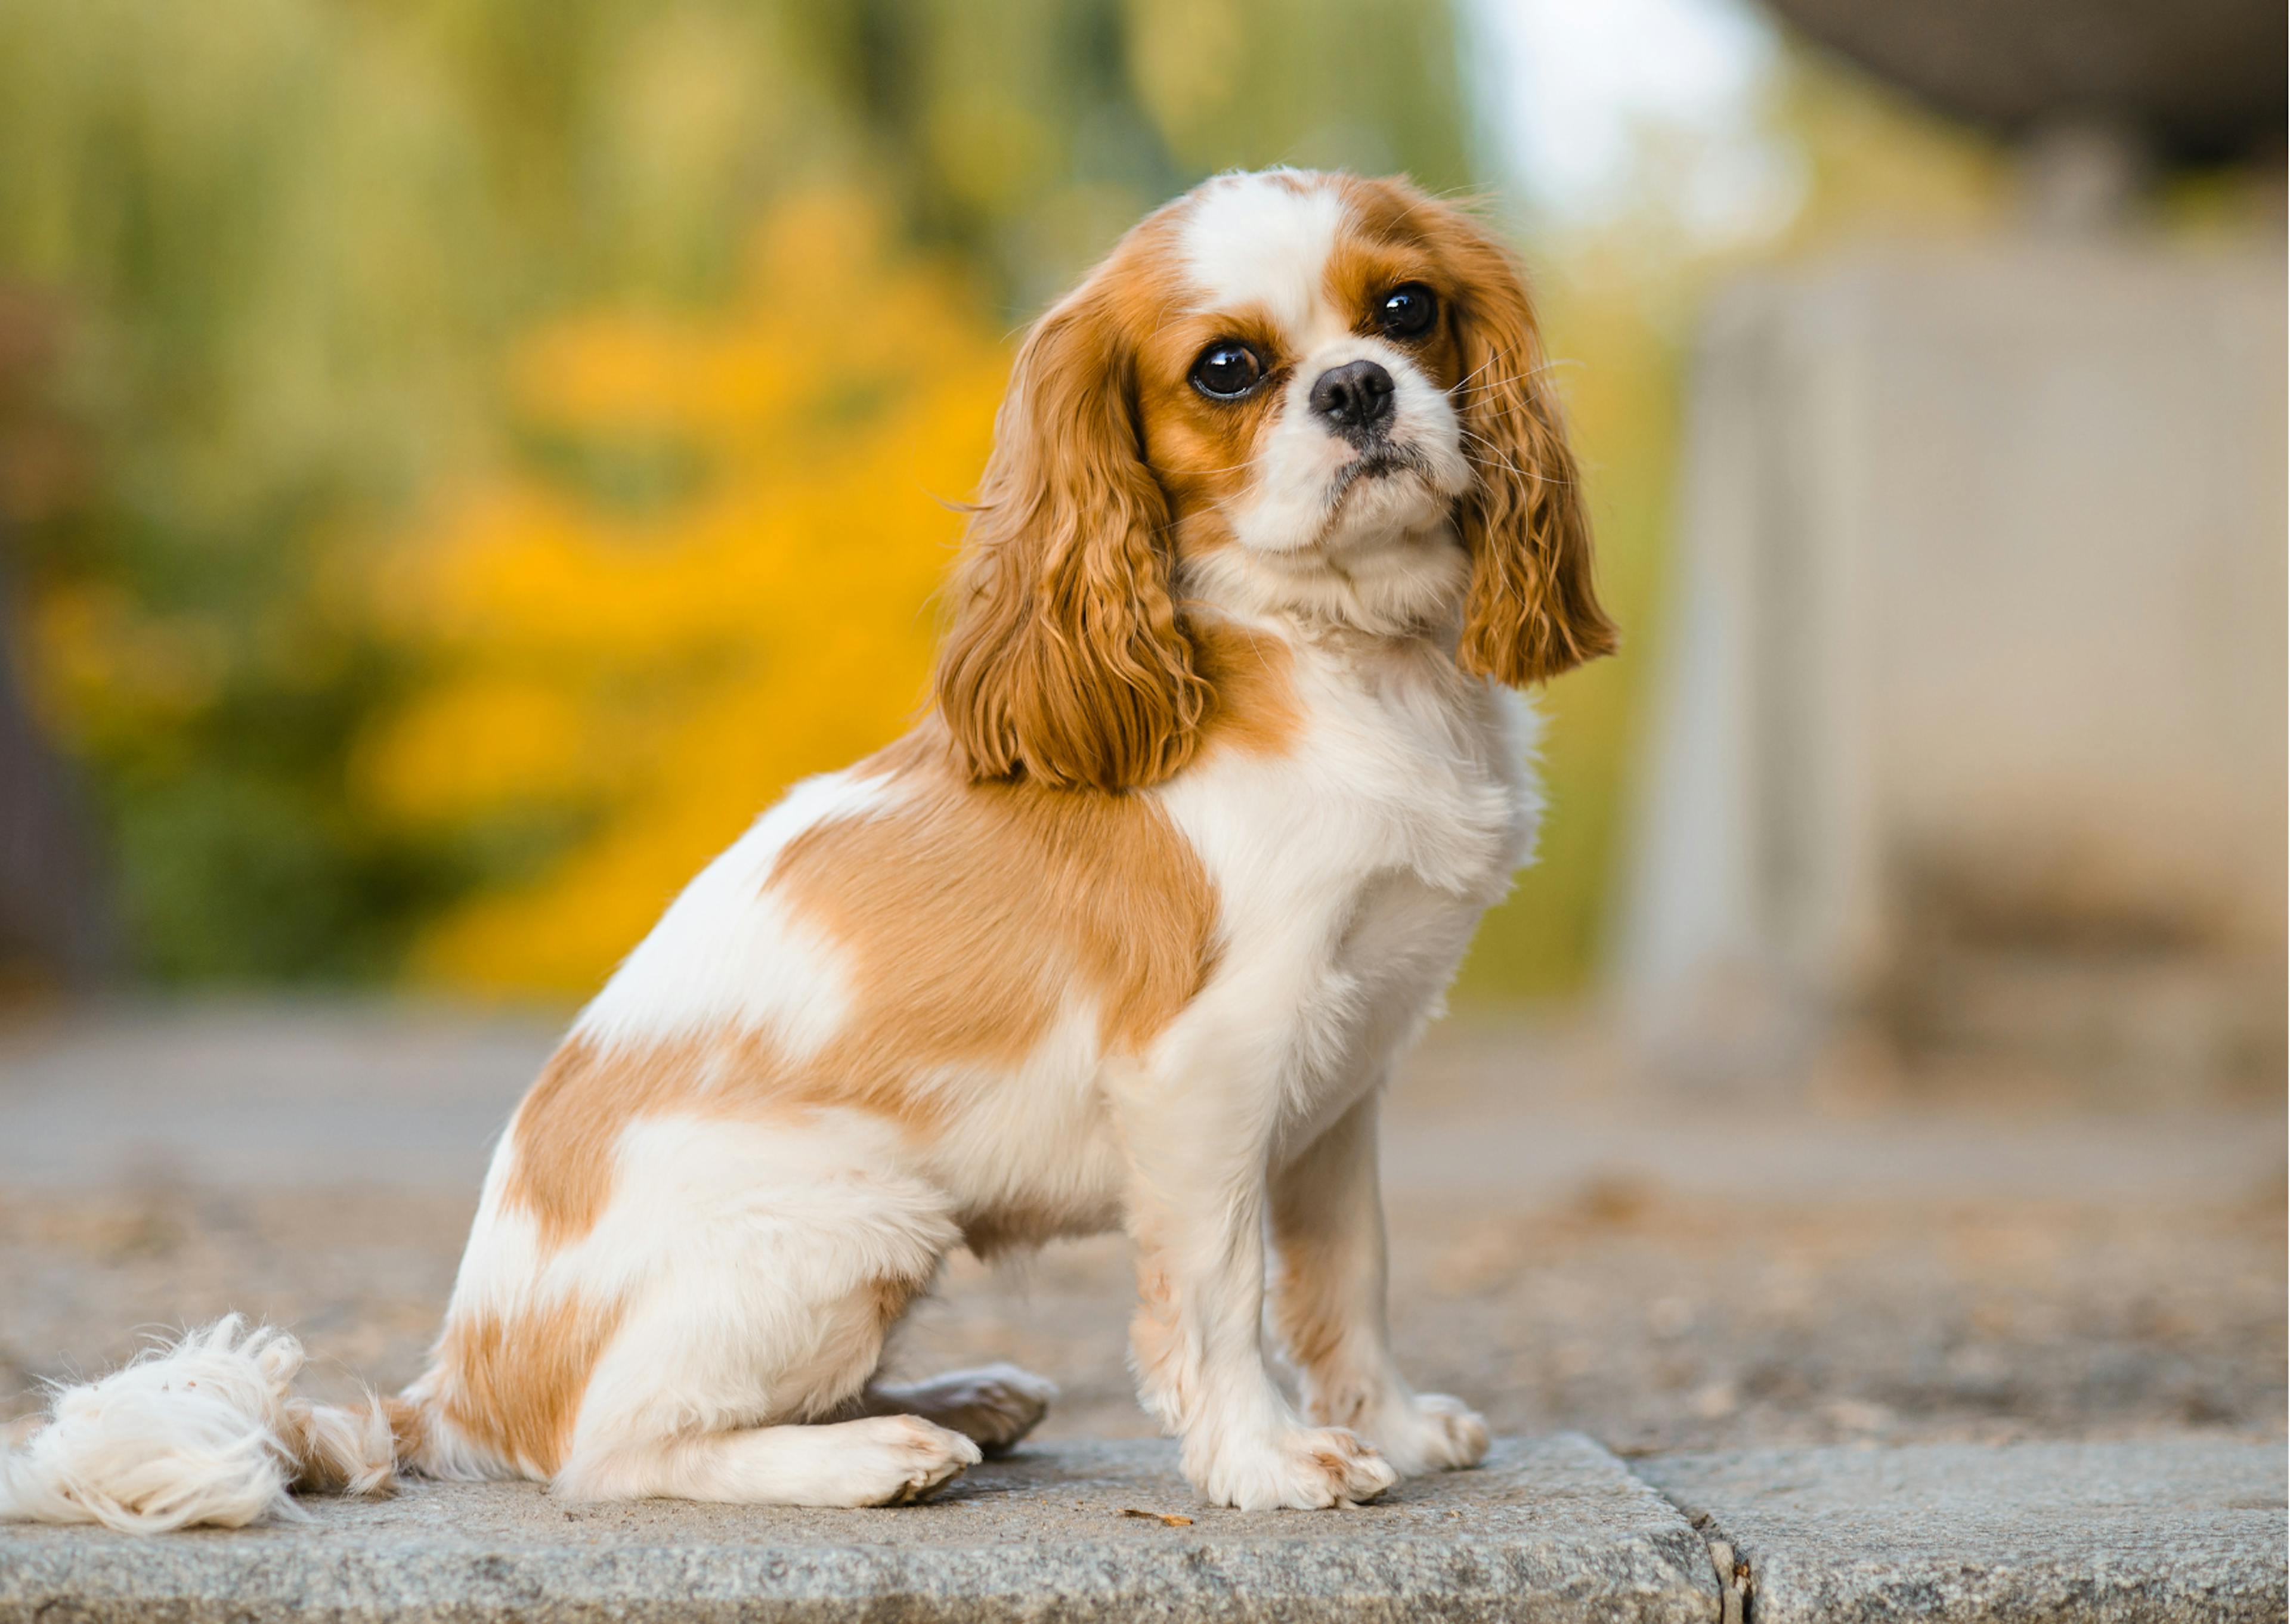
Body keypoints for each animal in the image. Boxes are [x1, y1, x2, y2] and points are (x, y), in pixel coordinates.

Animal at [0, 165, 1612, 1521]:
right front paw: (1270, 1462)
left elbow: (1351, 1276)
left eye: (1405, 311)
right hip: (863, 1222)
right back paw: (876, 1455)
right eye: (1227, 368)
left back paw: (960, 1401)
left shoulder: (1337, 1086)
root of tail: (452, 1395)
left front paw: (1391, 1425)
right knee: (619, 1451)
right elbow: (1222, 1295)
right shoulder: (1208, 1072)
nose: (1359, 389)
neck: (1342, 657)